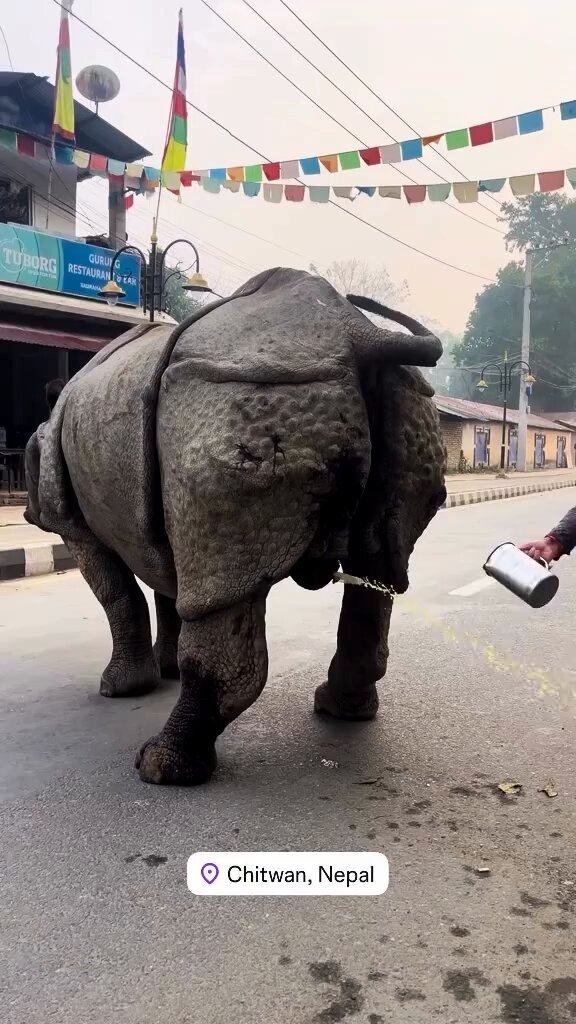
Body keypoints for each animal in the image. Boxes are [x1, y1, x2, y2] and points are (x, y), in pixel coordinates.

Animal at [25, 268, 446, 786]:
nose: (26, 514)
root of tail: (356, 333)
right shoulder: (161, 517)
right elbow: (168, 589)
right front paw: (165, 669)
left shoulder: (76, 526)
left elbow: (119, 595)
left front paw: (120, 690)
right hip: (393, 401)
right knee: (379, 572)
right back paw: (341, 710)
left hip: (239, 394)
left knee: (221, 582)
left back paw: (160, 768)